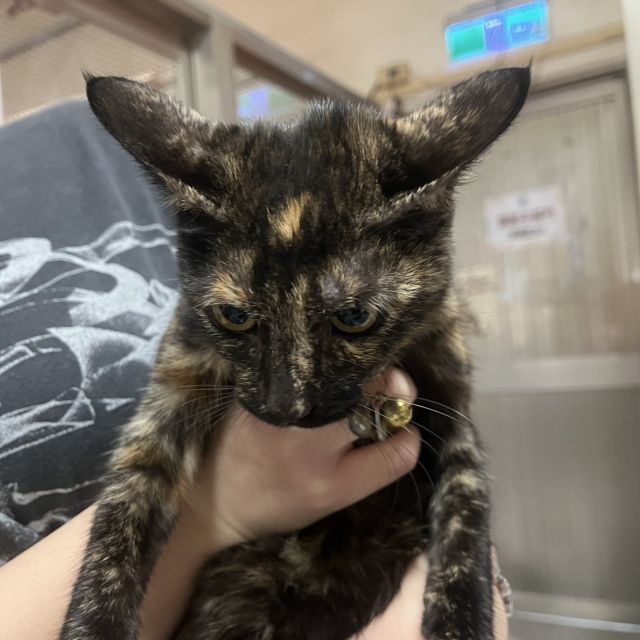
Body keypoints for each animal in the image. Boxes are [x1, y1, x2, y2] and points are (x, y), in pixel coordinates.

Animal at [61, 66, 529, 640]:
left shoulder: (454, 408)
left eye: (355, 317)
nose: (286, 405)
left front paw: (461, 619)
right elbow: (121, 517)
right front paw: (92, 622)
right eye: (234, 316)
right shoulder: (172, 389)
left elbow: (466, 519)